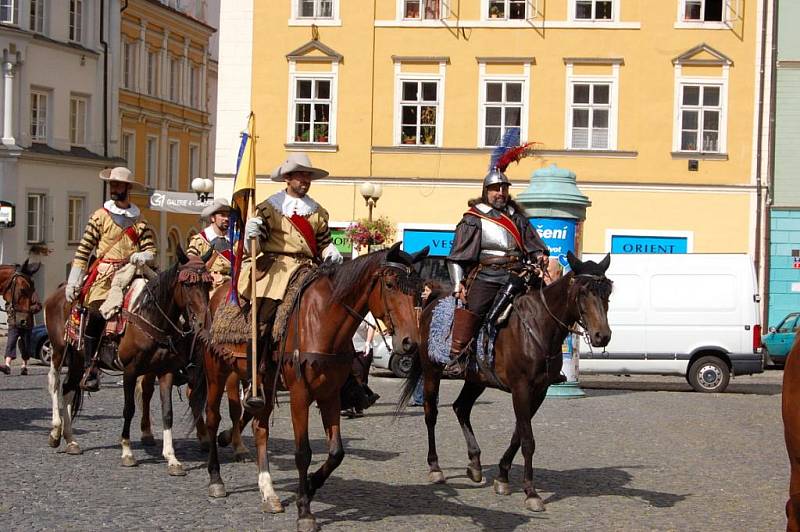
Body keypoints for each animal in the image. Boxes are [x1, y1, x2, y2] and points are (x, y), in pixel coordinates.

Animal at [191, 242, 428, 532]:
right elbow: (303, 452)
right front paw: (304, 510)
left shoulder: (330, 396)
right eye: (391, 284)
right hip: (217, 372)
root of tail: (221, 292)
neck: (323, 320)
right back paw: (216, 479)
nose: (410, 343)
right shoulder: (300, 396)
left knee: (260, 428)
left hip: (264, 383)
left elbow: (336, 452)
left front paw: (311, 486)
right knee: (213, 418)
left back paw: (268, 492)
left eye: (419, 289)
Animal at [396, 251, 612, 512]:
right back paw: (435, 467)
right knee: (431, 414)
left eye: (608, 291)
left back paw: (475, 463)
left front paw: (502, 477)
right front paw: (531, 492)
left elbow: (519, 434)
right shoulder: (521, 389)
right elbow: (528, 440)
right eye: (583, 291)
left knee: (461, 408)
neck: (539, 327)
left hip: (476, 379)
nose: (603, 336)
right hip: (432, 372)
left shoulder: (538, 392)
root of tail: (434, 299)